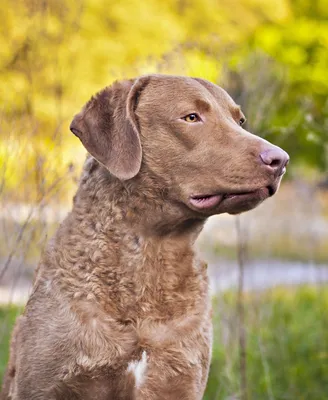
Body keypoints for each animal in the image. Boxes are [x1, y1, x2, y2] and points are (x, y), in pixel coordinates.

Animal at [1, 73, 288, 398]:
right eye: (191, 117)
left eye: (240, 121)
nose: (281, 160)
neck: (150, 255)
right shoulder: (45, 385)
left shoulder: (180, 377)